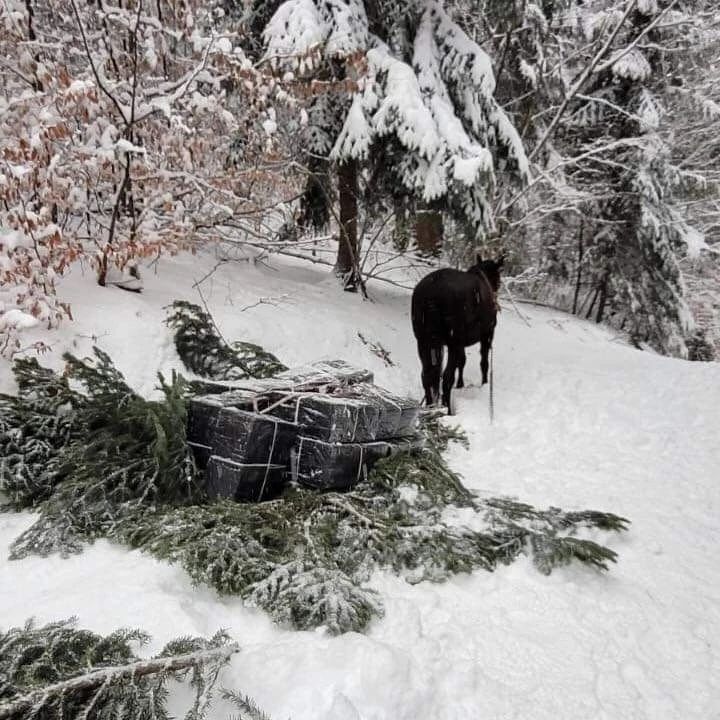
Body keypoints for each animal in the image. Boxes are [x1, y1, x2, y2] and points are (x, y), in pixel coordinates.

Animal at [410, 256, 506, 414]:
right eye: (498, 278)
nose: (496, 293)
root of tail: (432, 292)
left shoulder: (461, 343)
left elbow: (462, 361)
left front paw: (460, 384)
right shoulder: (487, 335)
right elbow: (484, 362)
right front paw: (485, 383)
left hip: (424, 342)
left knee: (427, 376)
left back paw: (429, 407)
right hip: (452, 342)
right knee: (446, 378)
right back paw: (447, 410)